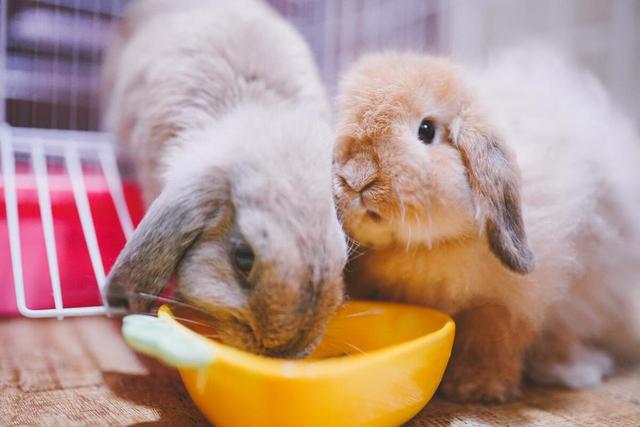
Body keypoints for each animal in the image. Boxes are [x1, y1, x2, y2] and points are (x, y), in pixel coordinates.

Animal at [332, 47, 640, 404]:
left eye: (426, 130)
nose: (355, 177)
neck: (432, 245)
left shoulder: (507, 304)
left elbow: (490, 339)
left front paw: (476, 387)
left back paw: (573, 369)